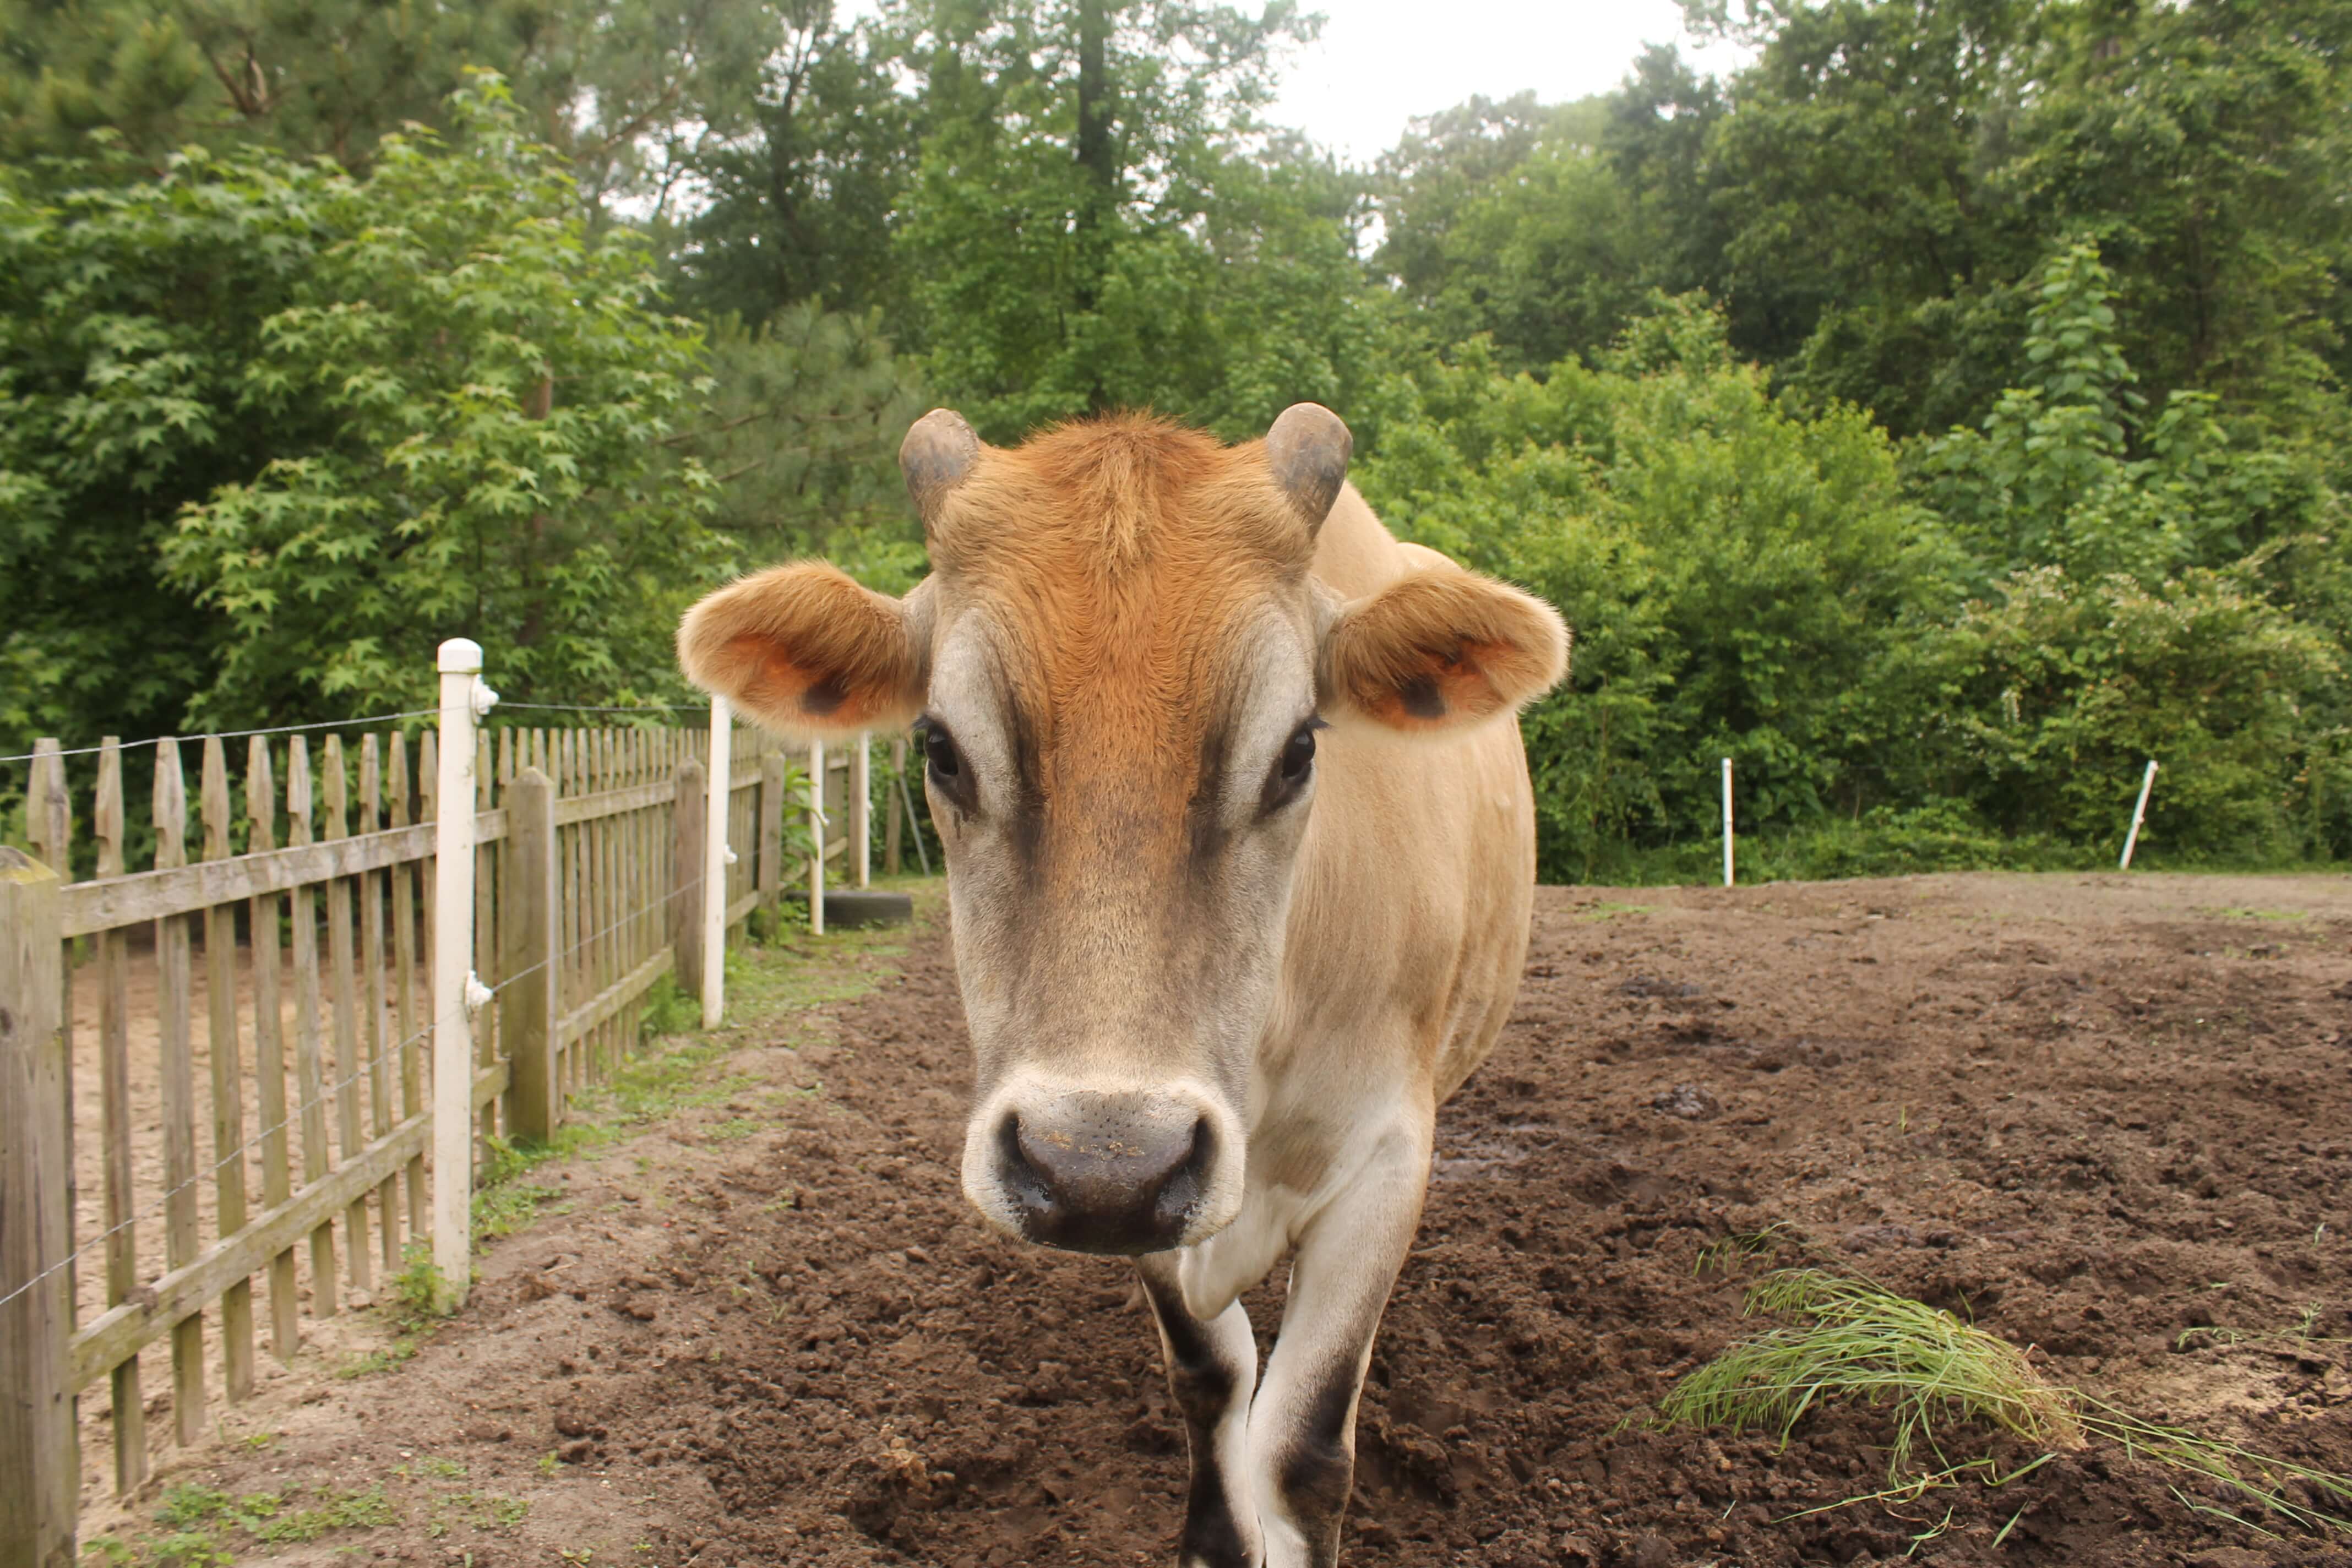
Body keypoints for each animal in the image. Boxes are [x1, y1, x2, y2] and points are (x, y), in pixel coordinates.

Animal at [676, 403, 1567, 1568]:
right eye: (942, 749)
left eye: (1297, 750)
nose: (1100, 1160)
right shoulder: (1144, 1188)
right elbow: (1212, 1378)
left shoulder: (1383, 1149)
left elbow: (1304, 1444)